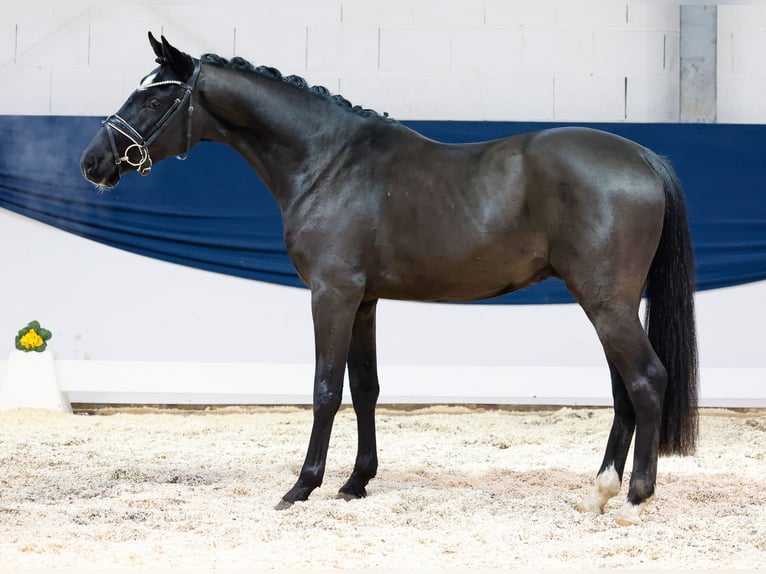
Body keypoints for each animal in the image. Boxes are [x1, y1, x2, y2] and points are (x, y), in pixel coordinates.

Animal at [81, 32, 700, 528]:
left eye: (156, 95)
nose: (93, 162)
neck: (328, 164)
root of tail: (642, 157)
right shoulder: (365, 301)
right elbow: (365, 389)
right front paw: (356, 483)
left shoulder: (331, 295)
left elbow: (325, 389)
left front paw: (302, 486)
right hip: (608, 303)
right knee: (623, 390)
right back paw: (599, 492)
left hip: (605, 302)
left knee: (646, 380)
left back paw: (633, 499)